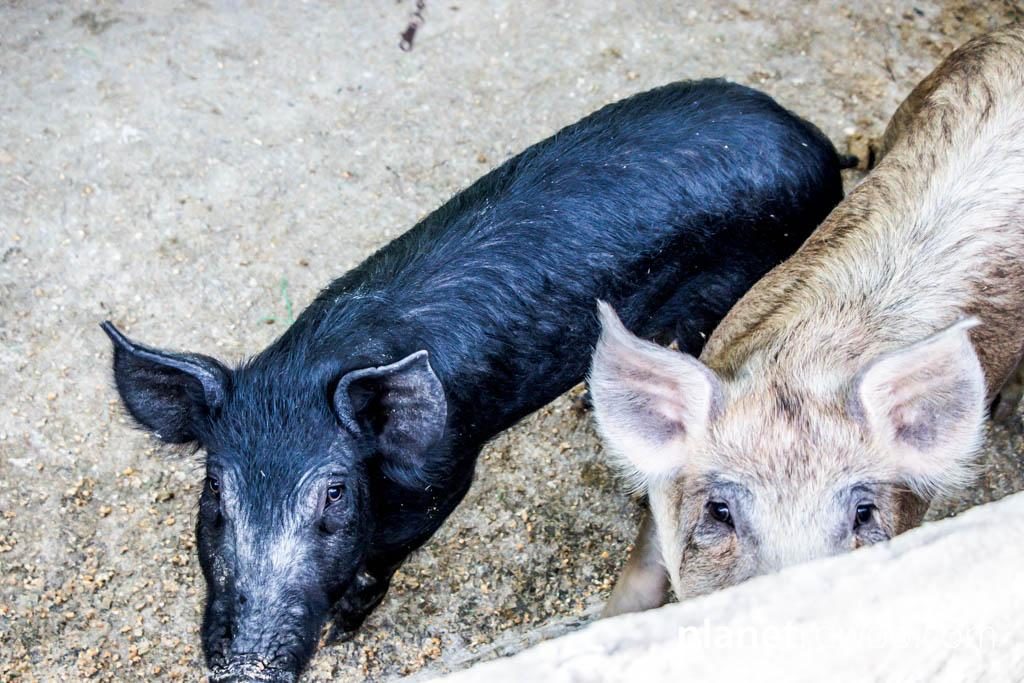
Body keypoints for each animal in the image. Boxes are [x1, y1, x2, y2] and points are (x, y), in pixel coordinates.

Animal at [102, 78, 848, 681]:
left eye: (335, 493)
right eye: (213, 492)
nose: (248, 666)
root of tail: (815, 139)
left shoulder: (447, 471)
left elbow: (386, 551)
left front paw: (344, 627)